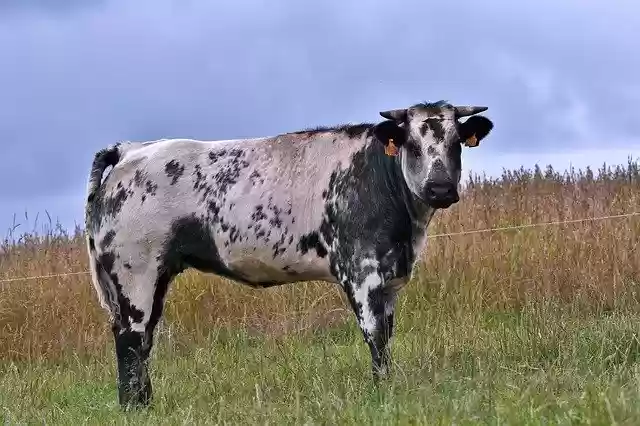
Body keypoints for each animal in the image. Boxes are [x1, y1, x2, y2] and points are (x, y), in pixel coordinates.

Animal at [84, 100, 494, 409]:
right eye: (411, 143)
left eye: (456, 142)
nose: (439, 188)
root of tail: (132, 149)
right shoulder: (362, 272)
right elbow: (375, 335)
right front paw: (382, 391)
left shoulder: (389, 278)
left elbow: (388, 334)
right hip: (135, 271)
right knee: (131, 338)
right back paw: (136, 406)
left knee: (143, 339)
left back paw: (143, 402)